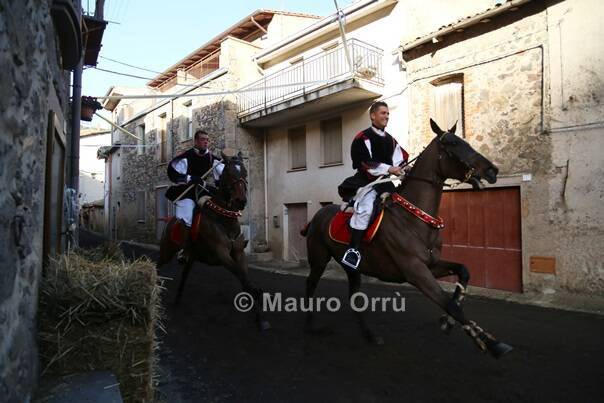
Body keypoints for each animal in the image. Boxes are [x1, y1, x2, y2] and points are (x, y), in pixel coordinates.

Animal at [158, 153, 268, 330]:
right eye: (228, 173)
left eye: (244, 173)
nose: (240, 201)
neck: (224, 218)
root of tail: (170, 221)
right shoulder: (222, 254)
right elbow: (241, 276)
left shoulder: (239, 254)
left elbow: (244, 279)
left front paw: (260, 318)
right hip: (166, 252)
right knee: (157, 266)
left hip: (191, 257)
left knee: (184, 274)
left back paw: (178, 299)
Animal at [304, 120, 512, 360]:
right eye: (453, 144)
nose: (492, 170)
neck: (415, 219)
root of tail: (318, 214)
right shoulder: (415, 272)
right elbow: (449, 304)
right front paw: (491, 343)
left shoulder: (431, 265)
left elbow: (463, 272)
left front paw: (448, 322)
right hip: (319, 259)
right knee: (311, 284)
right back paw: (311, 325)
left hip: (352, 269)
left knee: (354, 296)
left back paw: (369, 335)